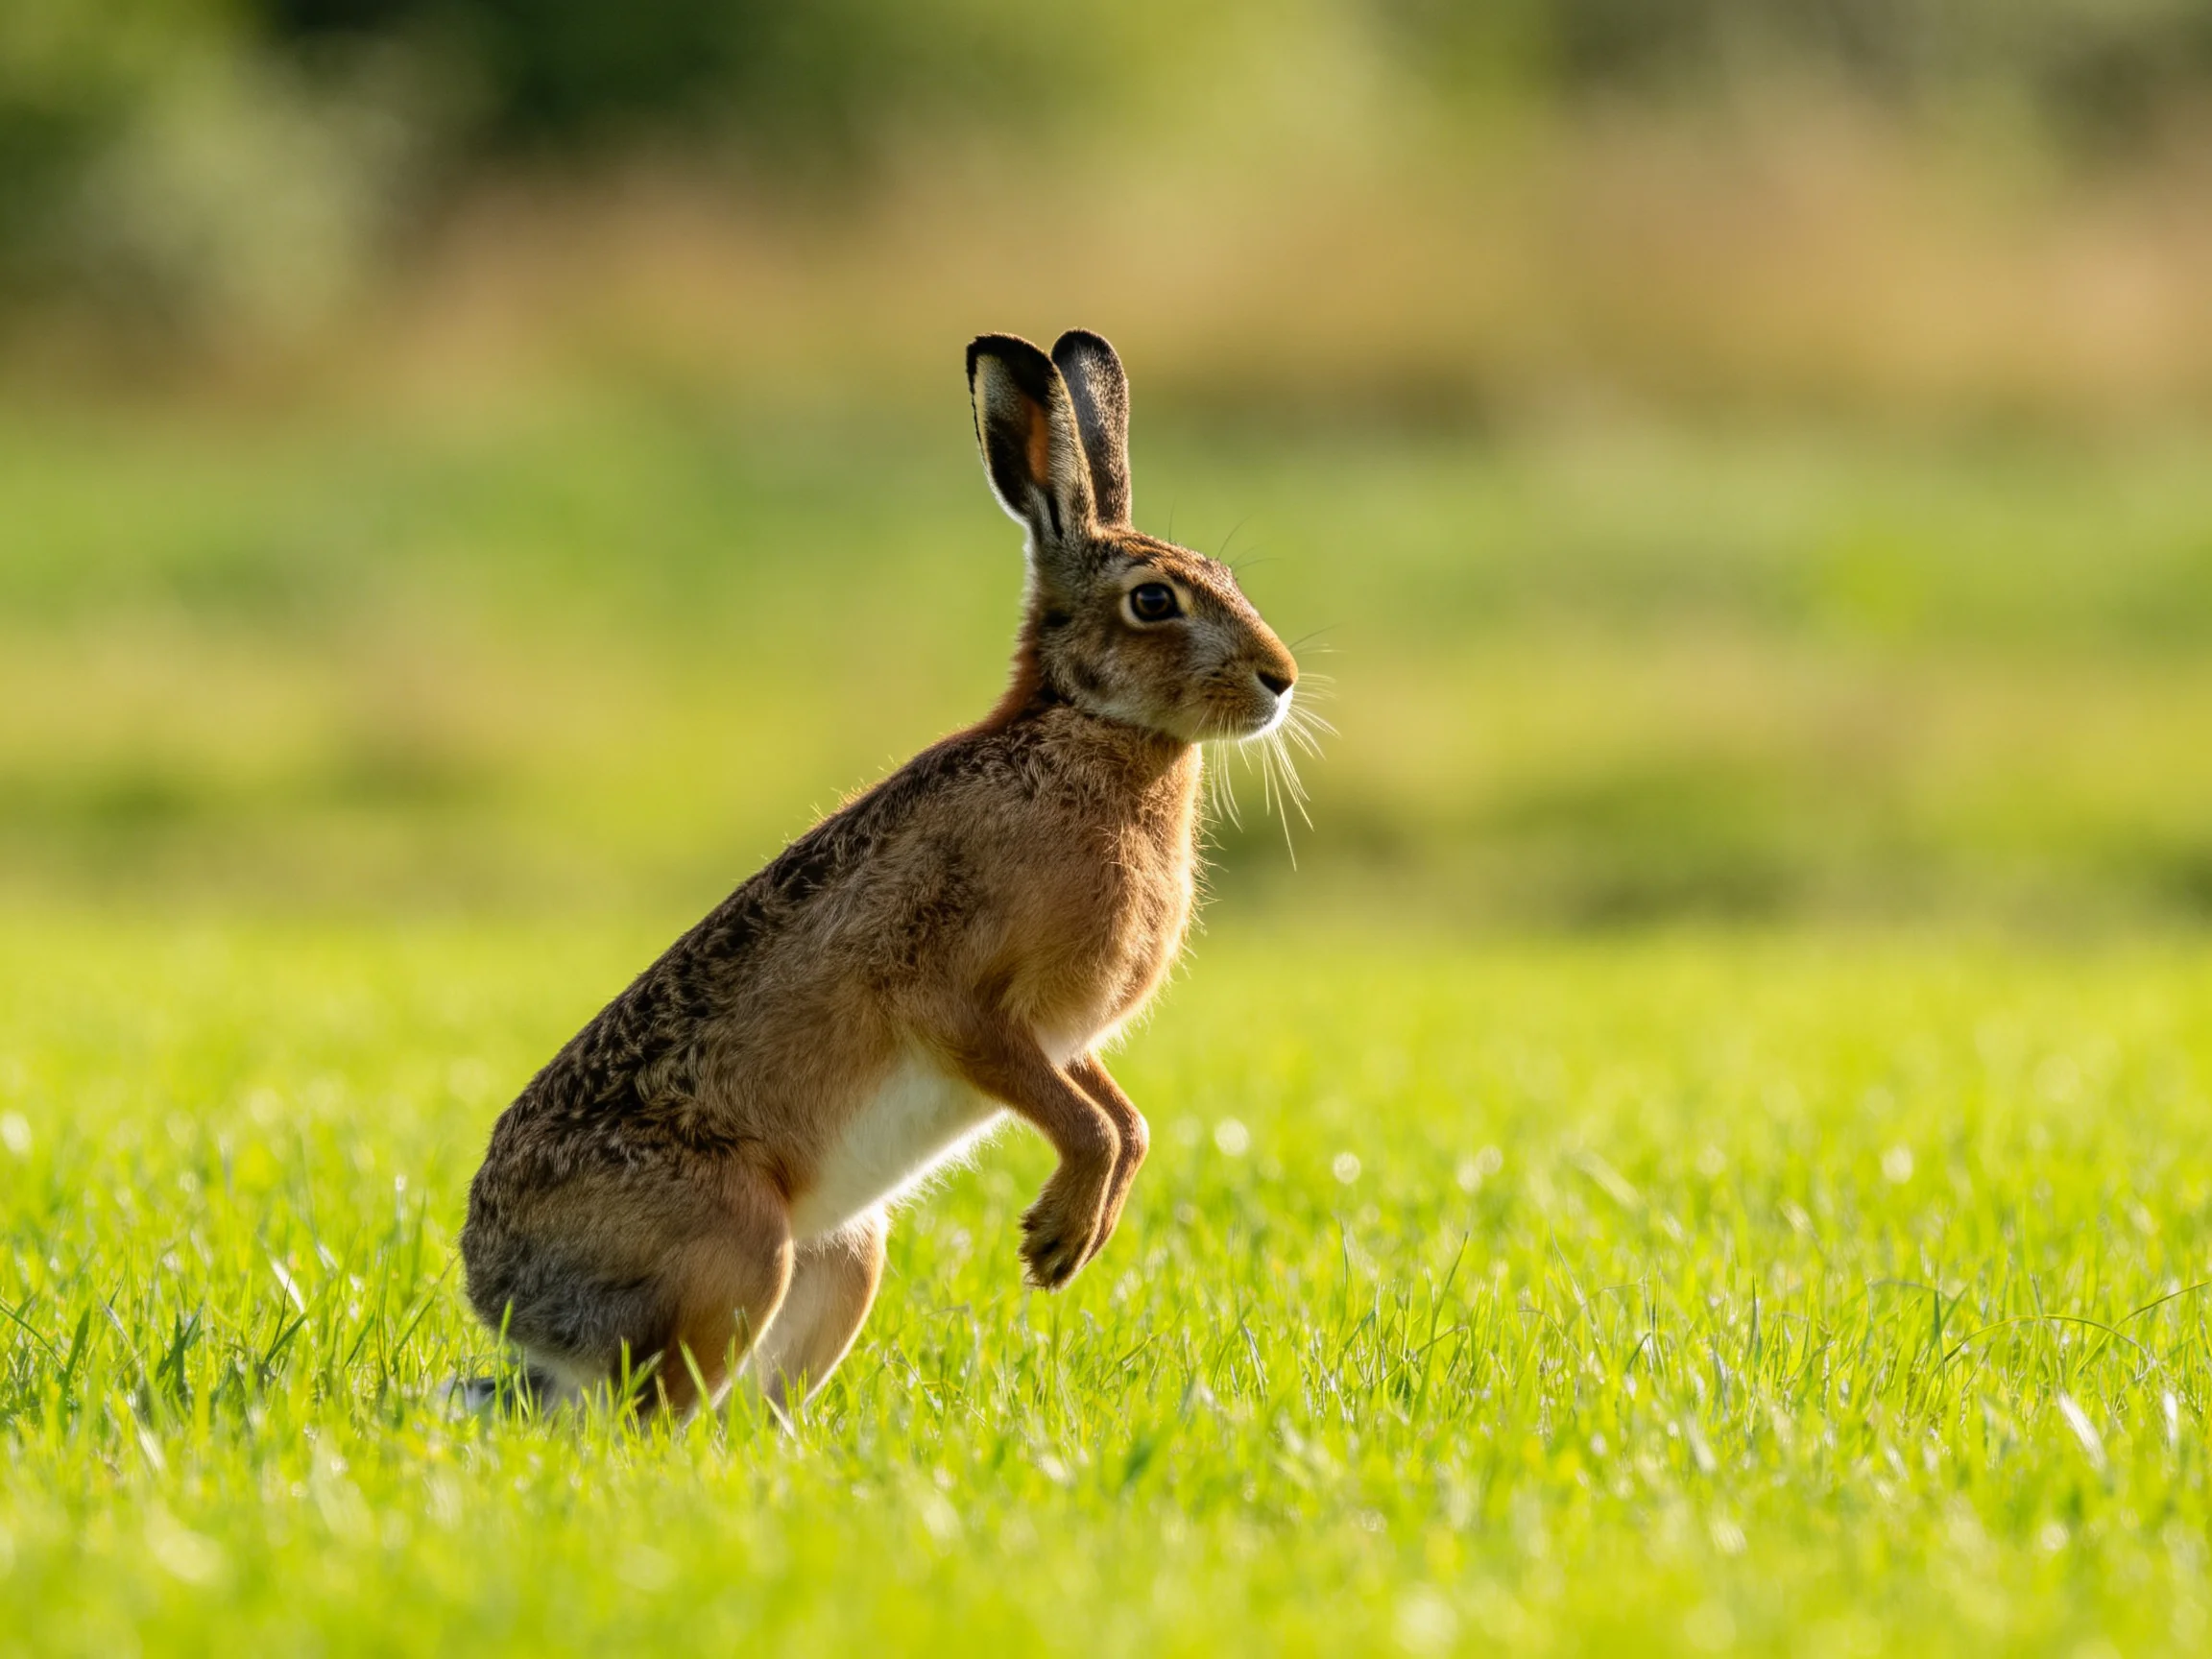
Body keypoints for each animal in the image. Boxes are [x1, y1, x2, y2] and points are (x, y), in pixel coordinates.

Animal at [457, 329, 1300, 1418]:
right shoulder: (954, 1000)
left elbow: (1125, 1119)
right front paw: (1055, 1243)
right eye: (1154, 600)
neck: (1087, 727)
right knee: (651, 1417)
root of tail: (511, 1305)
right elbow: (1083, 1121)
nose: (1281, 679)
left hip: (845, 1256)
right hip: (735, 1251)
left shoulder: (1060, 1039)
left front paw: (1077, 1234)